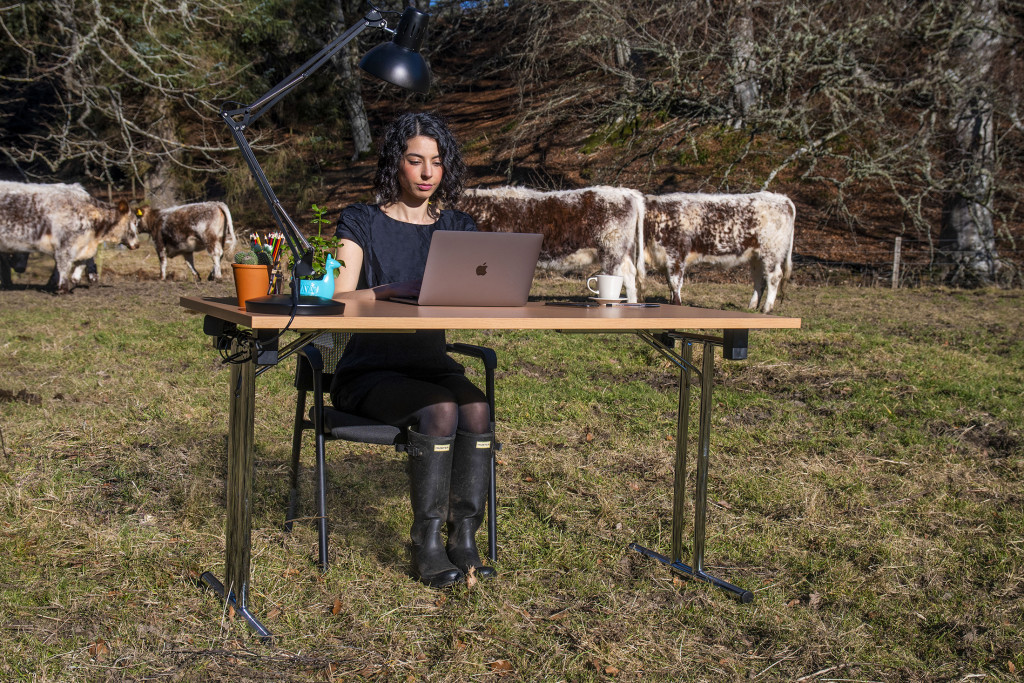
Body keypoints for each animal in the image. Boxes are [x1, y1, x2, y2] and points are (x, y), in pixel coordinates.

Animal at [0, 180, 140, 292]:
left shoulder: (82, 245)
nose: (138, 244)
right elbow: (64, 264)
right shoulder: (65, 244)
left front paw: (76, 278)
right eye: (134, 222)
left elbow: (82, 261)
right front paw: (63, 288)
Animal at [643, 189, 794, 313]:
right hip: (757, 256)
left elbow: (675, 283)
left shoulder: (676, 255)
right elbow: (670, 284)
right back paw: (752, 307)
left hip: (771, 252)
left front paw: (676, 305)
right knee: (759, 279)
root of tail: (782, 198)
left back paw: (766, 308)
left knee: (774, 276)